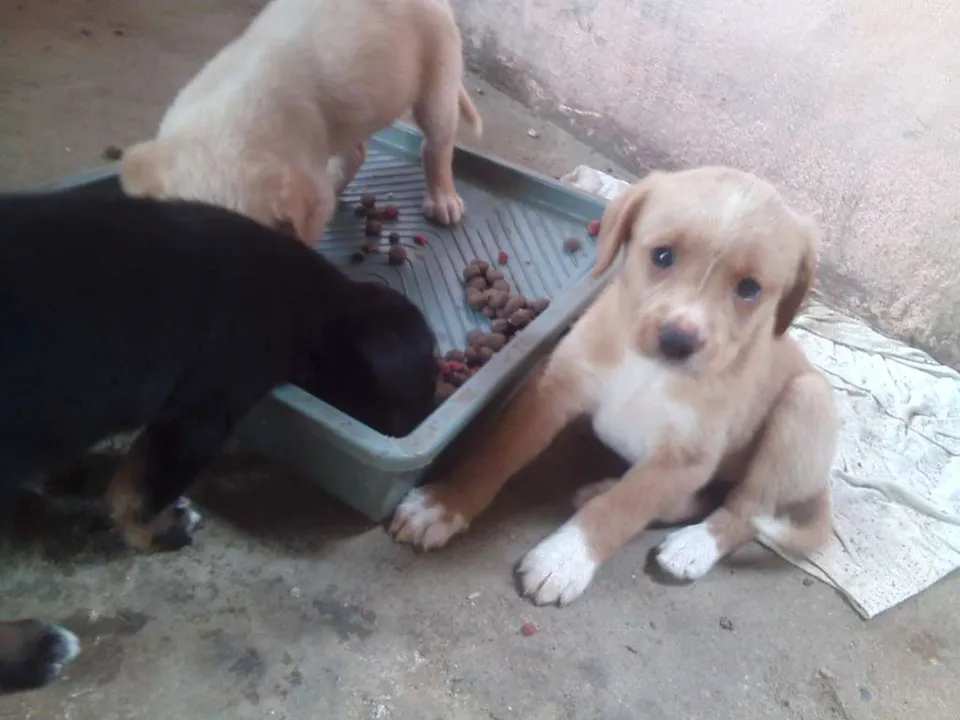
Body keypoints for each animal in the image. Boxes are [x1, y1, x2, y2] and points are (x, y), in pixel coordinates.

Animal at [119, 0, 483, 244]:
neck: (223, 121)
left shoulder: (309, 191)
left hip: (440, 75)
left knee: (436, 146)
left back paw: (443, 200)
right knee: (356, 152)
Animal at [390, 166, 837, 606]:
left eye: (749, 288)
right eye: (662, 255)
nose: (677, 341)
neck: (648, 372)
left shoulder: (685, 457)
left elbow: (622, 507)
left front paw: (564, 559)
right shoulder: (552, 390)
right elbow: (495, 452)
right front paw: (444, 504)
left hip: (806, 403)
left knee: (745, 509)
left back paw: (692, 547)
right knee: (703, 499)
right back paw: (605, 490)